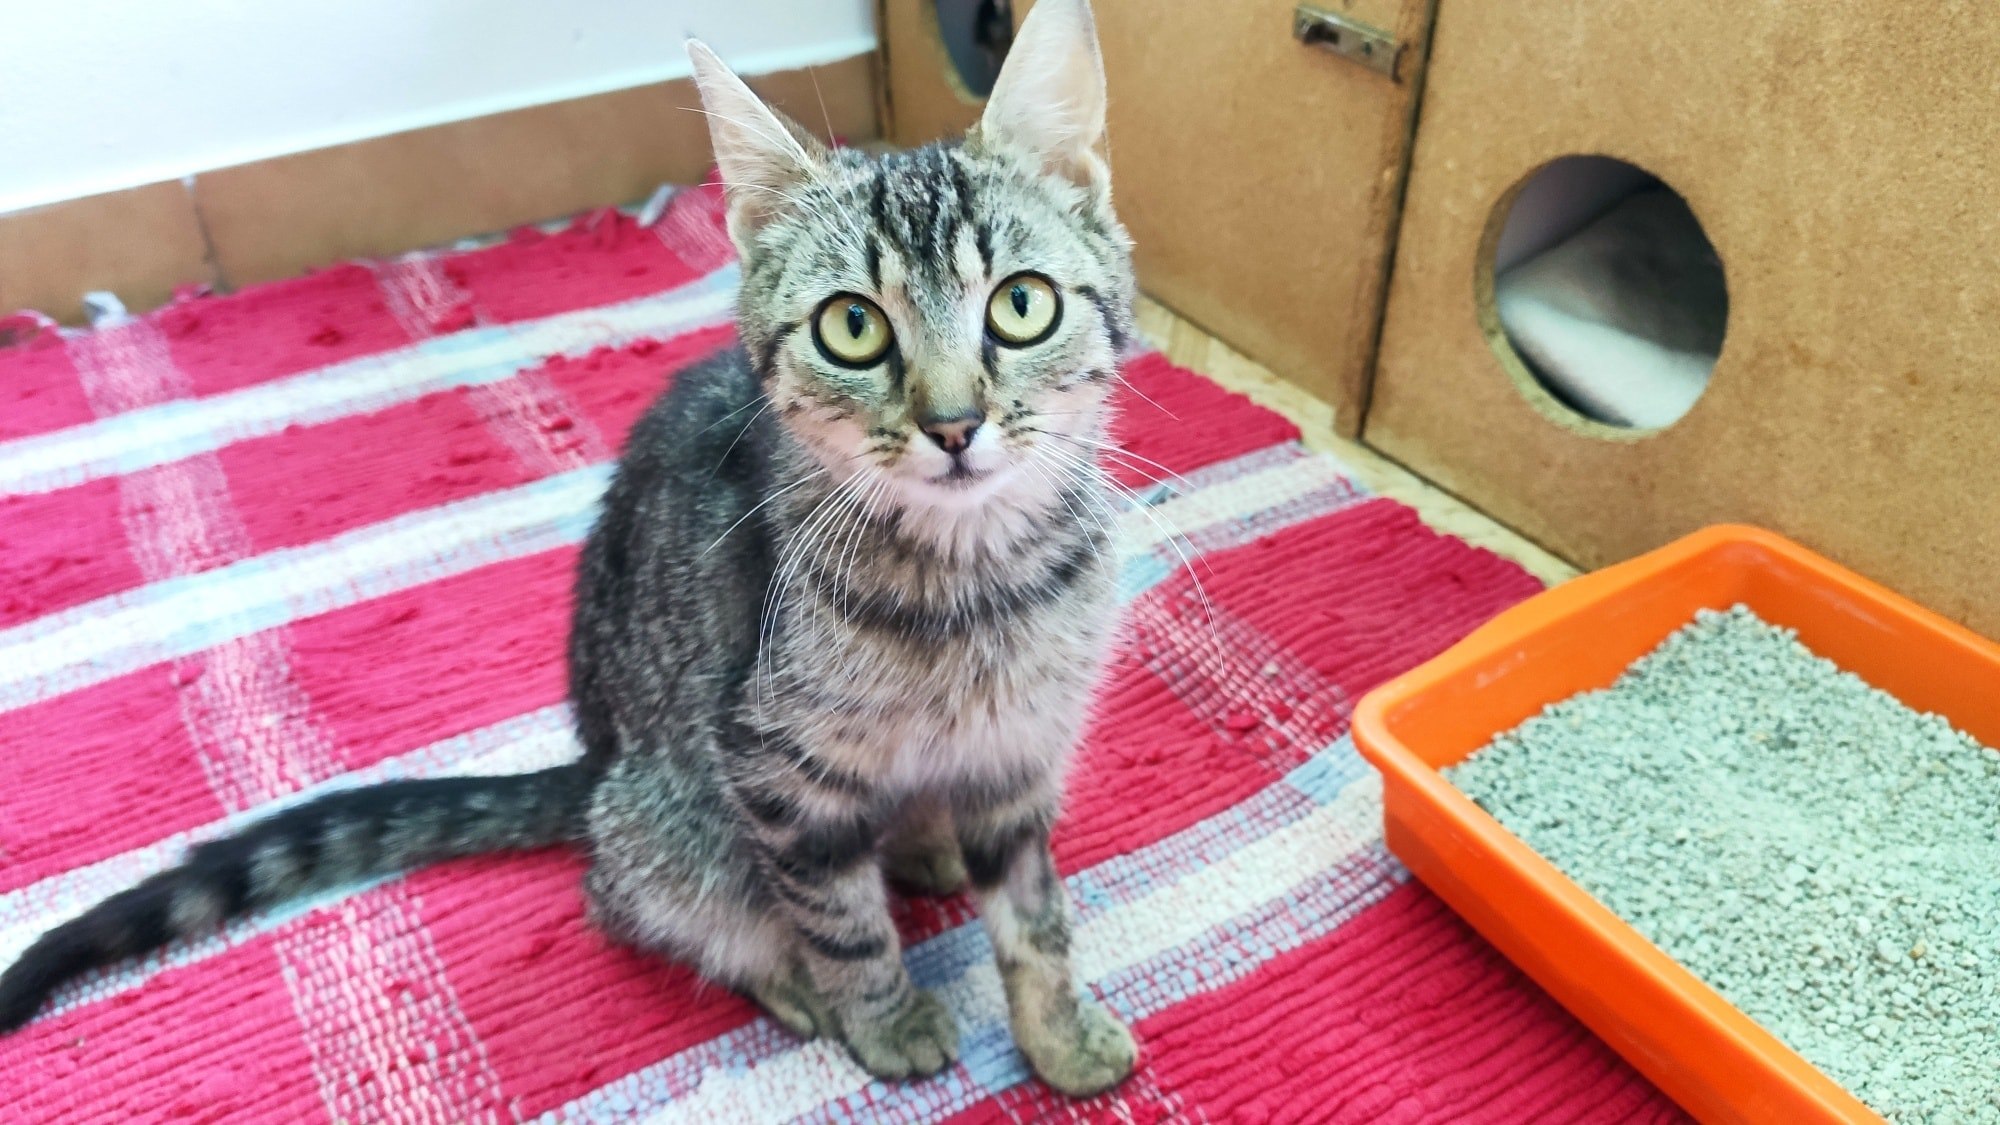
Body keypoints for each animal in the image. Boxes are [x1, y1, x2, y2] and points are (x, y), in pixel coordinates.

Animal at [0, 0, 1139, 1097]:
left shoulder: (1019, 753)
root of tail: (592, 768)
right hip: (668, 819)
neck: (980, 574)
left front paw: (1061, 1035)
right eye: (852, 328)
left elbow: (1034, 918)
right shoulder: (774, 768)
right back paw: (789, 971)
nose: (953, 424)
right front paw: (884, 1017)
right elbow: (839, 920)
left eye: (1021, 305)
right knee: (634, 896)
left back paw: (927, 850)